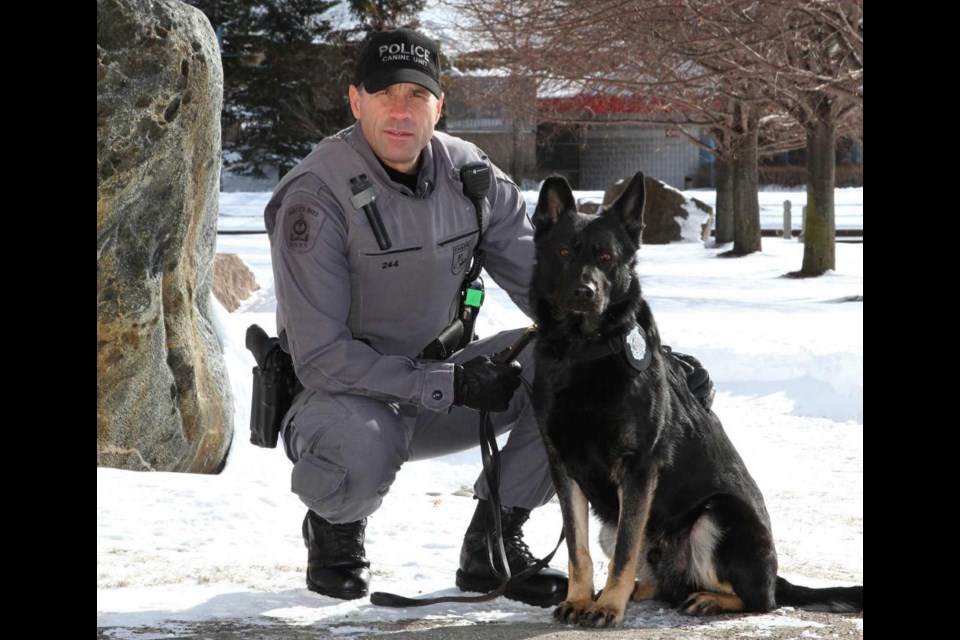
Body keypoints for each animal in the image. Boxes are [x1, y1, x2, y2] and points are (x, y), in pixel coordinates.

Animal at [528, 172, 868, 628]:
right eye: (564, 252)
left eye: (606, 257)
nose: (585, 292)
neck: (583, 350)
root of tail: (777, 576)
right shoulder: (563, 467)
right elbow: (577, 550)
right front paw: (582, 599)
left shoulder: (638, 470)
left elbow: (623, 554)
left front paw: (608, 608)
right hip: (616, 524)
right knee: (653, 577)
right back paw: (639, 592)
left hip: (717, 516)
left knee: (760, 598)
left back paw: (707, 599)